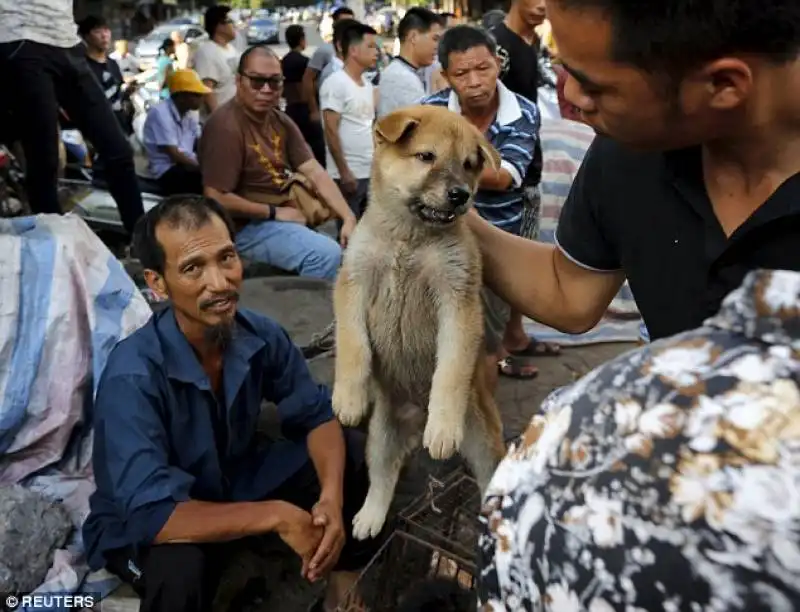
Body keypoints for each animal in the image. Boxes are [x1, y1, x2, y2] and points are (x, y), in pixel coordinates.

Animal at [332, 105, 506, 540]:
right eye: (426, 157)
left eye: (469, 165)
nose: (461, 195)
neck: (409, 239)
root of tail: (414, 420)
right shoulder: (353, 283)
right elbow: (353, 346)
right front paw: (349, 398)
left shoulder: (457, 301)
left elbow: (450, 370)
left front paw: (442, 426)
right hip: (380, 438)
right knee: (382, 478)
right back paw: (370, 517)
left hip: (481, 438)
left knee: (488, 480)